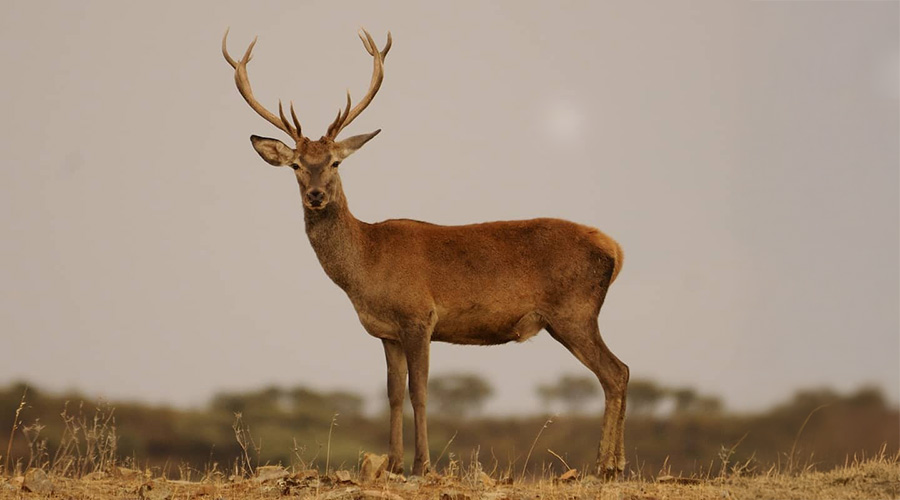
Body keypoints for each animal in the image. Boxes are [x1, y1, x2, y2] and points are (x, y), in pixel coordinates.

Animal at [222, 28, 629, 479]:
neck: (366, 266)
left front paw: (423, 465)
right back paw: (615, 463)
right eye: (296, 165)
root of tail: (614, 248)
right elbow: (394, 393)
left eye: (334, 162)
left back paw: (606, 467)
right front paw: (395, 463)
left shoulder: (420, 315)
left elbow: (419, 391)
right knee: (620, 371)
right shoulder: (387, 331)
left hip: (574, 311)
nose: (315, 195)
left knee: (615, 372)